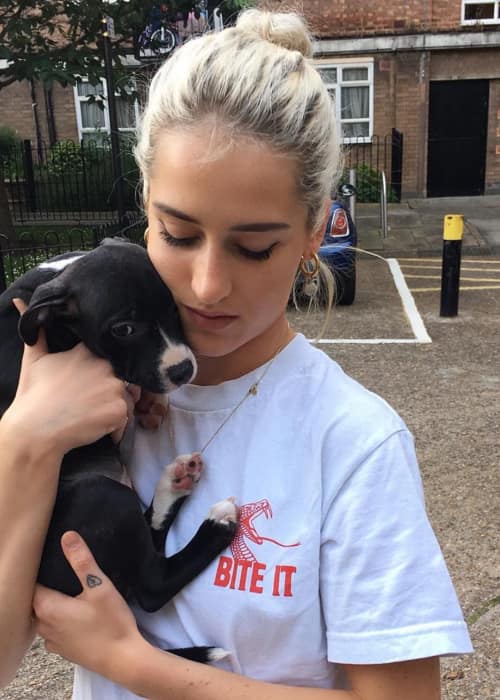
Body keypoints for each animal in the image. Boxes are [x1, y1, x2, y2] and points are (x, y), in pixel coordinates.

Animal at [0, 239, 238, 660]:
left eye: (174, 309)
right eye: (123, 329)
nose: (182, 371)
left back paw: (173, 484)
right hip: (100, 493)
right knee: (151, 587)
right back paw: (215, 524)